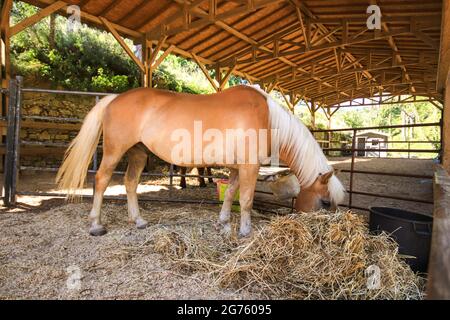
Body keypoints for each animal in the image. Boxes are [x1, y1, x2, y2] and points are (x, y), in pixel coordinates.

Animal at [56, 85, 344, 238]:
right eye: (325, 202)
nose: (323, 233)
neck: (269, 120)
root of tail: (114, 98)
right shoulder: (249, 167)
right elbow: (247, 201)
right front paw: (245, 231)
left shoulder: (236, 169)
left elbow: (231, 195)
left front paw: (224, 223)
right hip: (115, 151)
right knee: (101, 180)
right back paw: (96, 224)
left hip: (138, 153)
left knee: (130, 184)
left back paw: (138, 221)